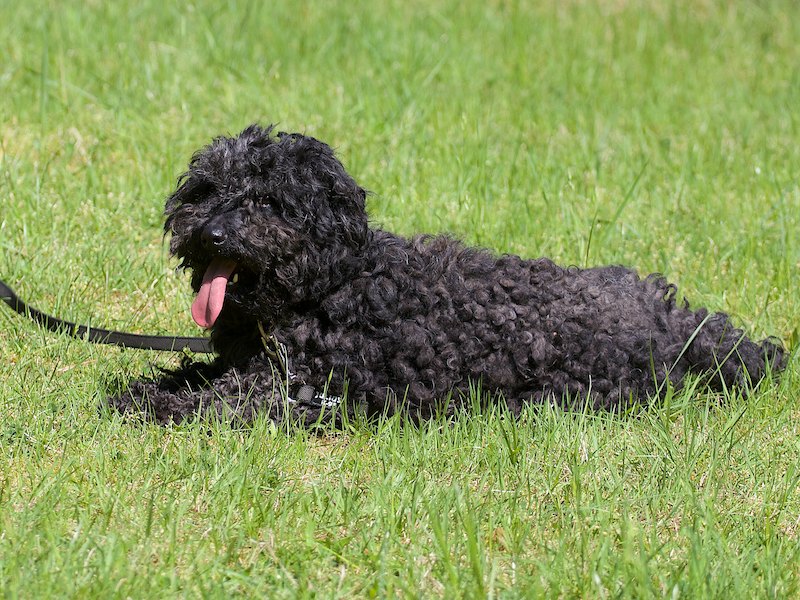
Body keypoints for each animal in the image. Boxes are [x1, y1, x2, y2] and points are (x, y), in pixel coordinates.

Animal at [108, 124, 785, 424]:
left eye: (269, 203)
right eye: (207, 191)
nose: (213, 234)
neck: (330, 286)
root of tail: (676, 326)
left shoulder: (296, 390)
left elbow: (214, 399)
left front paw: (150, 402)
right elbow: (192, 371)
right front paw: (153, 383)